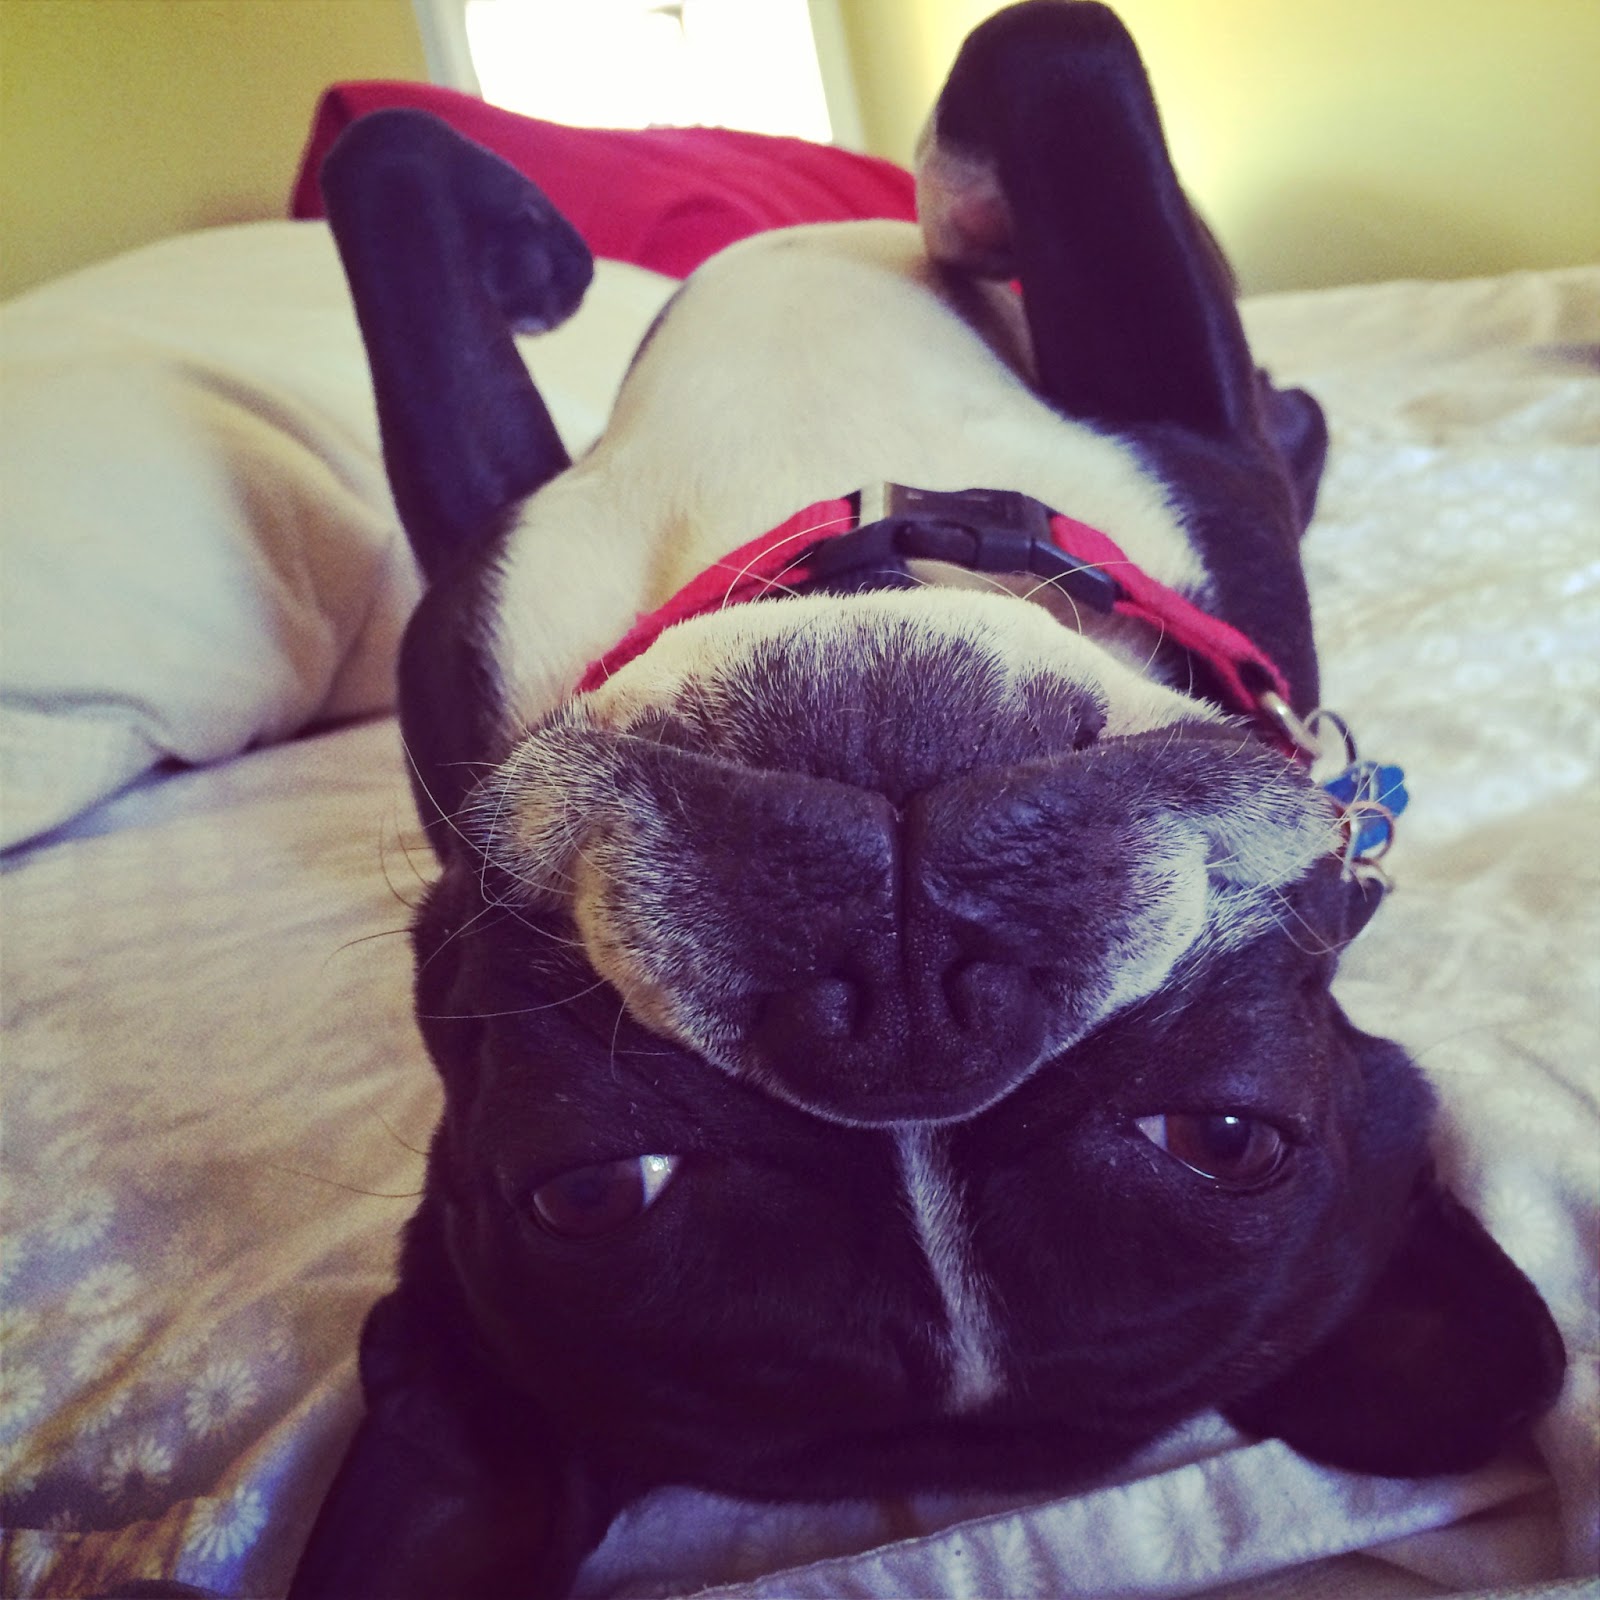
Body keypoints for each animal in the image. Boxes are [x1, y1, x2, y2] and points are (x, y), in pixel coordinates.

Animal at [289, 5, 1565, 1595]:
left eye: (1224, 1137)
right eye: (590, 1188)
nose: (905, 1008)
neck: (843, 526)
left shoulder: (1182, 401)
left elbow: (1057, 60)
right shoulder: (476, 561)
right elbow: (384, 170)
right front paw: (549, 253)